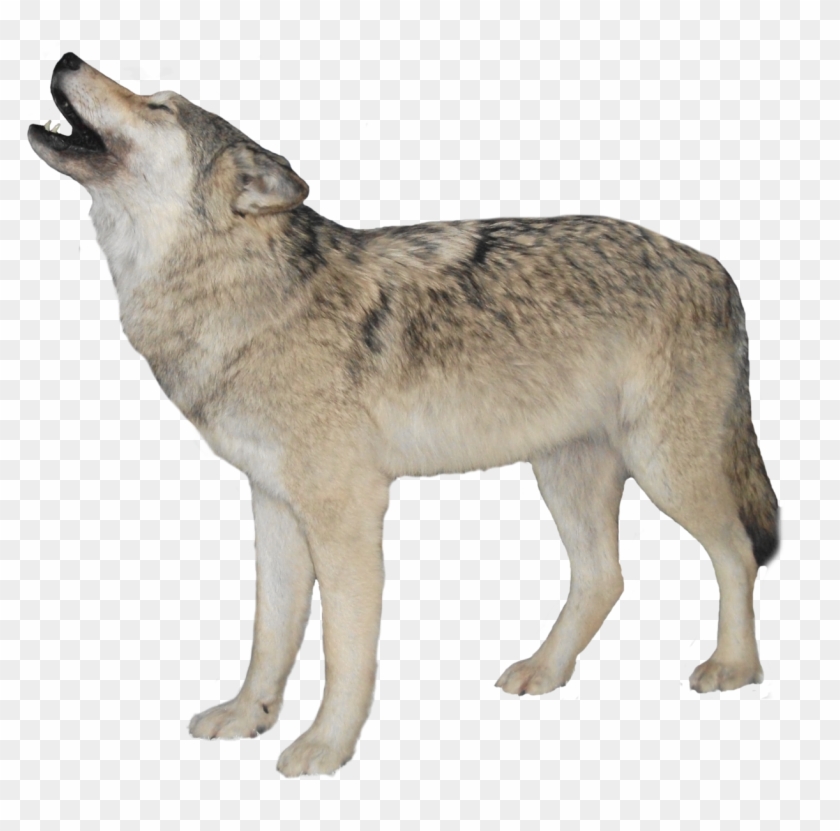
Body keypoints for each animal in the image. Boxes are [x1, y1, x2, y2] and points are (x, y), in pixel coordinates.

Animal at [29, 54, 779, 776]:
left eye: (159, 105)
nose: (66, 56)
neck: (245, 297)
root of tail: (715, 267)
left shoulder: (346, 510)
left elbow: (341, 646)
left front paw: (326, 747)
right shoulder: (273, 502)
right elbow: (271, 632)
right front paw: (249, 715)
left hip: (666, 470)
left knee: (737, 552)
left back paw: (735, 666)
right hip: (564, 474)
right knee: (605, 576)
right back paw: (545, 669)